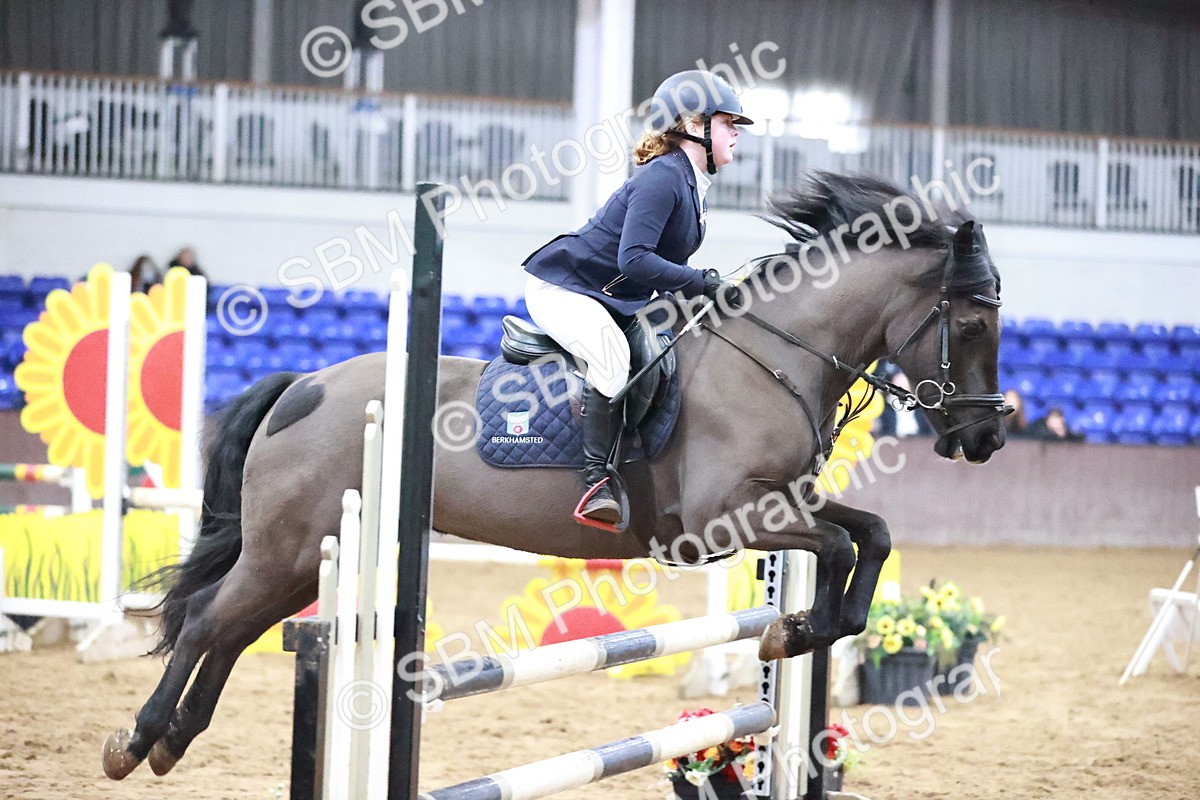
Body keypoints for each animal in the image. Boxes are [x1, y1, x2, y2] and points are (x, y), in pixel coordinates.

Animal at [102, 172, 1008, 780]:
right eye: (970, 324)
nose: (987, 437)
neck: (774, 356)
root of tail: (305, 384)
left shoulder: (786, 501)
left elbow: (868, 537)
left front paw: (803, 627)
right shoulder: (723, 519)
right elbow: (840, 547)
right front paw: (795, 630)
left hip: (302, 556)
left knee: (230, 627)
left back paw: (173, 741)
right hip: (289, 547)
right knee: (205, 622)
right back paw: (136, 740)